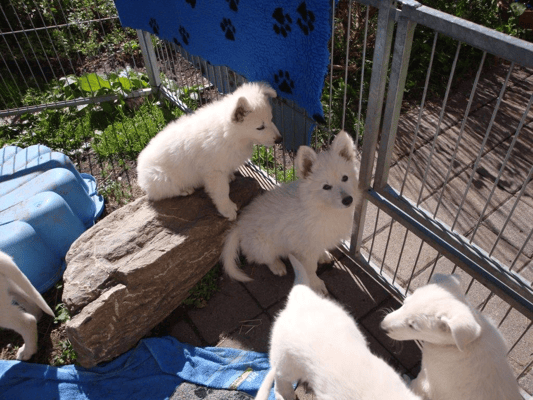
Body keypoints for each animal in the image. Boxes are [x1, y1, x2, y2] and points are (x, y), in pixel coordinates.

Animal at [136, 82, 282, 220]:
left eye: (271, 119)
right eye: (260, 127)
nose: (280, 140)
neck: (230, 133)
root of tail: (140, 174)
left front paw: (229, 176)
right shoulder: (213, 171)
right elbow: (222, 191)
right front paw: (228, 209)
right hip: (161, 178)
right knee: (163, 193)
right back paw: (185, 190)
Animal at [221, 130, 359, 294]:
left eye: (345, 178)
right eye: (326, 187)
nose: (348, 200)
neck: (323, 207)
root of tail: (240, 226)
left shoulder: (318, 239)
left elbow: (319, 249)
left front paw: (323, 255)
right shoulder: (306, 247)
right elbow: (310, 268)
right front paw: (316, 285)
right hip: (264, 245)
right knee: (258, 257)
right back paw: (277, 266)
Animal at [380, 274, 522, 400]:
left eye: (412, 326)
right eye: (404, 303)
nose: (382, 327)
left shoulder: (427, 381)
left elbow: (413, 387)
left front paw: (404, 381)